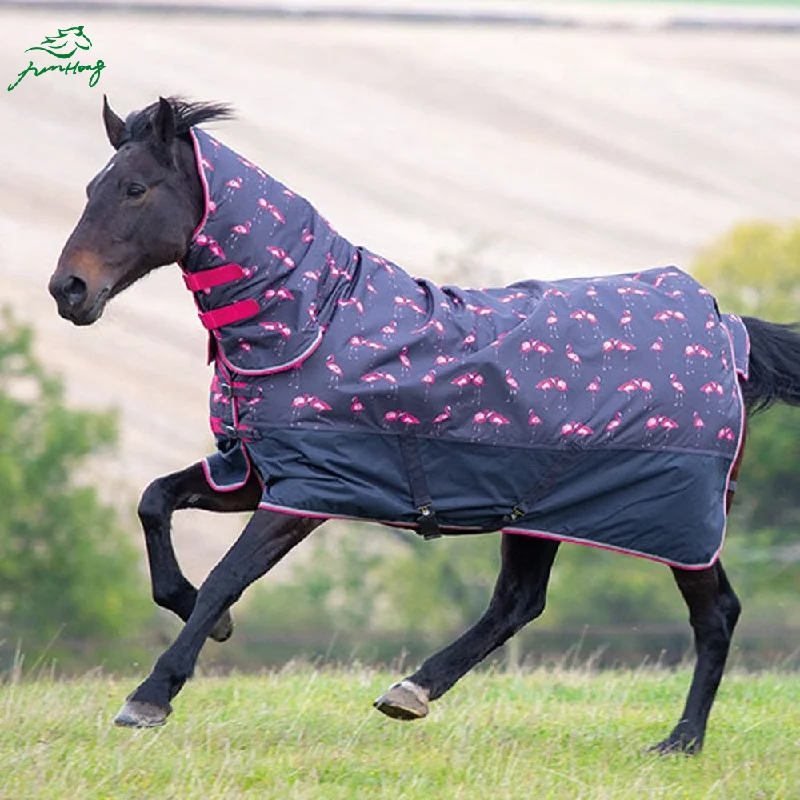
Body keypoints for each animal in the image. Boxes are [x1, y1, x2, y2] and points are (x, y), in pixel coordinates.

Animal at [49, 96, 800, 754]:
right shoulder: (255, 471)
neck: (314, 318)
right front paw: (199, 615)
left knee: (715, 614)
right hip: (542, 510)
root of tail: (727, 328)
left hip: (677, 520)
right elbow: (155, 502)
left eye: (135, 188)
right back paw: (411, 691)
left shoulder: (307, 493)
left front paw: (150, 696)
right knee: (518, 604)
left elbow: (227, 575)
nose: (68, 290)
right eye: (90, 187)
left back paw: (682, 740)